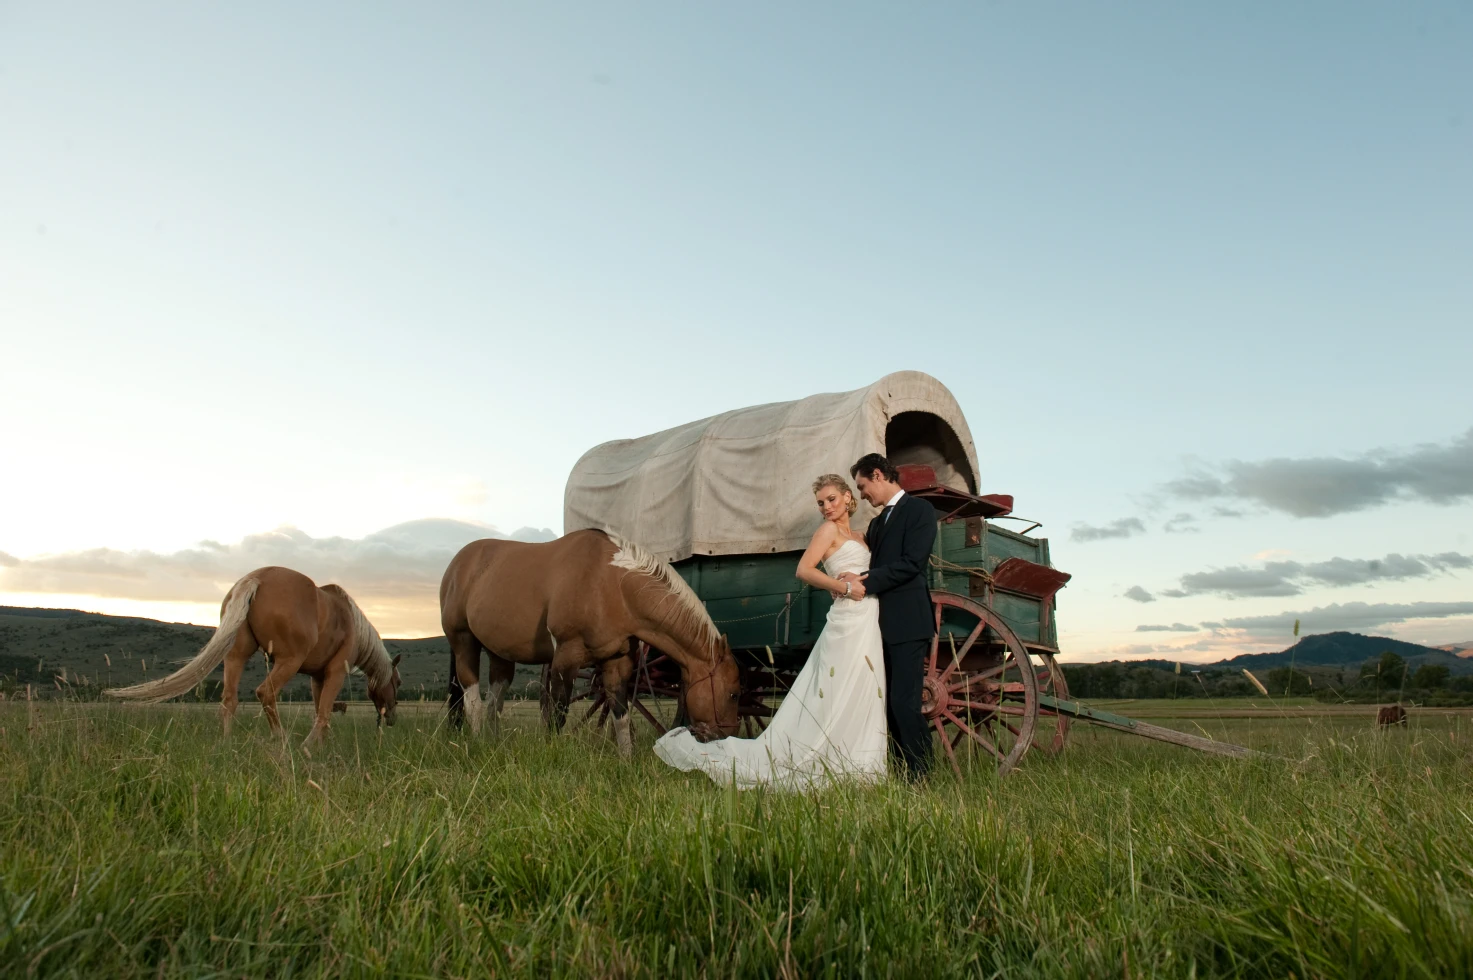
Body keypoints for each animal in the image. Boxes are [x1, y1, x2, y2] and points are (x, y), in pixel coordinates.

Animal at [107, 565, 403, 748]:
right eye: (397, 683)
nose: (391, 719)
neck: (351, 624)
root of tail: (257, 578)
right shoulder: (335, 673)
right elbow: (323, 713)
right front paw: (309, 746)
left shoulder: (316, 678)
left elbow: (321, 710)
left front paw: (321, 745)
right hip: (288, 661)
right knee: (265, 693)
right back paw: (281, 739)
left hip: (236, 655)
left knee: (229, 699)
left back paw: (227, 742)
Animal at [433, 530, 736, 751]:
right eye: (734, 693)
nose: (727, 740)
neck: (610, 584)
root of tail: (459, 562)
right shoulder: (566, 659)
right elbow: (558, 715)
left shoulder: (616, 663)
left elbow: (620, 714)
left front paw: (626, 760)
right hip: (463, 643)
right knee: (473, 700)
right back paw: (477, 744)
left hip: (501, 655)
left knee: (494, 703)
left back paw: (494, 745)